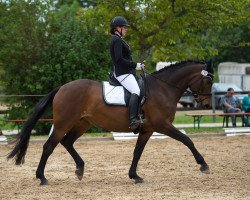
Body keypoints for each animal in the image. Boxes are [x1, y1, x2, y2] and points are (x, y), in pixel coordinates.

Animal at [7, 60, 214, 185]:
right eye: (208, 81)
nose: (206, 104)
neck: (163, 88)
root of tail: (62, 88)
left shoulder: (147, 129)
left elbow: (137, 152)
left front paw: (134, 176)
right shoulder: (162, 125)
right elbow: (187, 140)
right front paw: (203, 165)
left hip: (82, 123)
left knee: (67, 142)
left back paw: (79, 169)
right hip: (63, 123)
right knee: (49, 146)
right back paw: (42, 177)